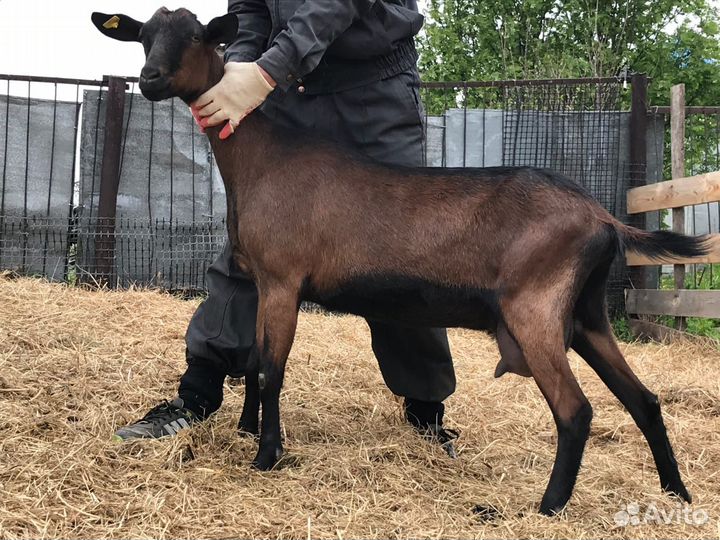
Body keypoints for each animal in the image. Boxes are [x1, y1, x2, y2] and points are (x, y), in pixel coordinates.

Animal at [92, 8, 707, 515]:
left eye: (196, 36)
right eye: (143, 37)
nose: (150, 79)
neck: (262, 159)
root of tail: (604, 219)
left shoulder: (284, 280)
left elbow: (271, 369)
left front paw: (266, 456)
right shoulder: (259, 278)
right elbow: (250, 362)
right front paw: (248, 432)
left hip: (536, 310)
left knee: (576, 411)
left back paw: (548, 507)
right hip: (585, 314)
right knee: (644, 399)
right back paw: (677, 493)